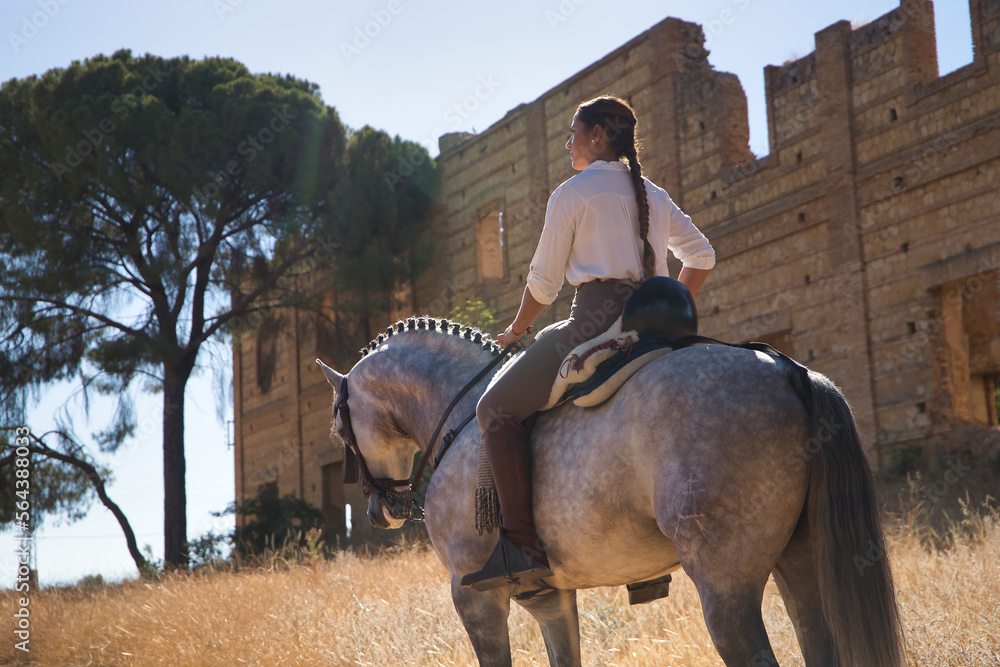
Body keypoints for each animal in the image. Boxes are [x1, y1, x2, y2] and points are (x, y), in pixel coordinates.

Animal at [320, 320, 908, 664]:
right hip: (800, 566)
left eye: (339, 427)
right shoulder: (551, 599)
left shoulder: (475, 599)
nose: (380, 510)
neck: (461, 412)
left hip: (726, 588)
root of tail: (784, 367)